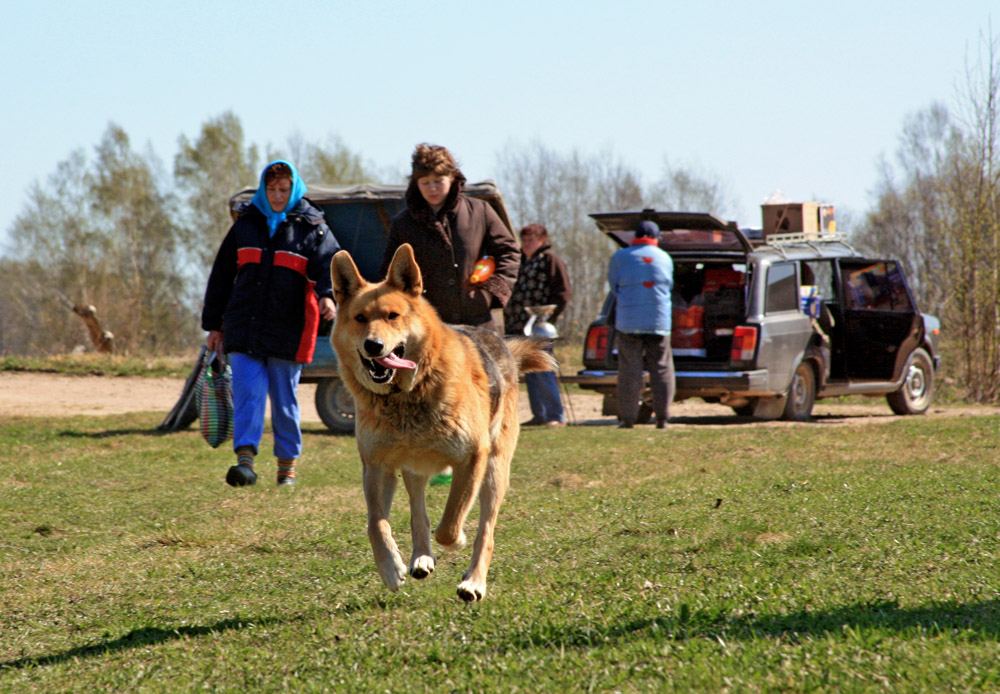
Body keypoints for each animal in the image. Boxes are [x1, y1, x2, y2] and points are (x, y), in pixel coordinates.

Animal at [334, 246, 556, 604]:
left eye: (393, 316)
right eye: (360, 318)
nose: (373, 345)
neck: (406, 396)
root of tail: (502, 345)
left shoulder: (472, 458)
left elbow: (451, 524)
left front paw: (459, 541)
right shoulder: (377, 467)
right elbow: (376, 523)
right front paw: (390, 568)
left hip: (494, 471)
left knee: (485, 530)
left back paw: (474, 581)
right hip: (414, 470)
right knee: (418, 513)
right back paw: (421, 557)